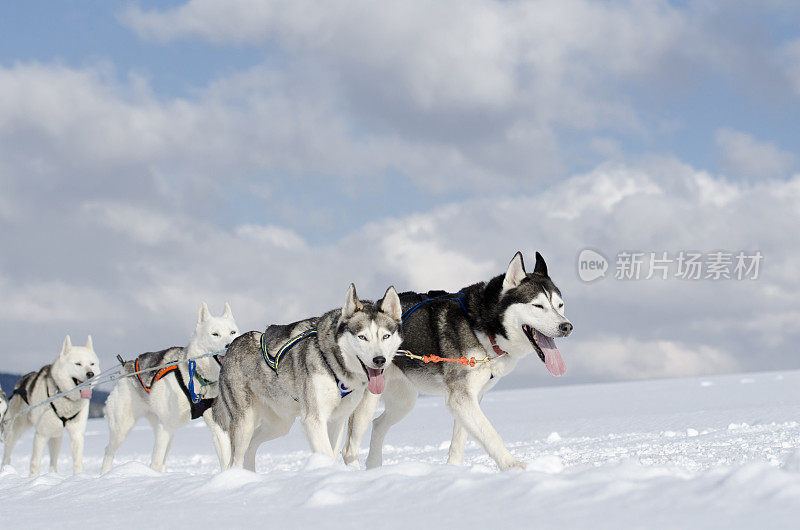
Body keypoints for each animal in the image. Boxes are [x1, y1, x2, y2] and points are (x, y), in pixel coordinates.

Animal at [0, 334, 100, 474]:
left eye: (92, 364)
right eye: (78, 363)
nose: (91, 374)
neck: (64, 395)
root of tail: (19, 385)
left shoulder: (77, 435)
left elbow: (77, 463)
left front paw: (78, 477)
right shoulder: (41, 435)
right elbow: (35, 463)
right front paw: (33, 478)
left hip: (56, 435)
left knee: (53, 460)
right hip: (15, 431)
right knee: (7, 453)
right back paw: (6, 469)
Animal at [101, 302, 238, 470]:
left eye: (232, 332)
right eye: (215, 334)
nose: (230, 344)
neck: (198, 378)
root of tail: (126, 367)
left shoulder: (216, 425)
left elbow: (225, 459)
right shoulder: (165, 425)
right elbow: (156, 460)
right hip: (123, 428)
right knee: (110, 451)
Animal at [211, 282, 404, 468]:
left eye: (386, 336)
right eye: (362, 337)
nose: (379, 360)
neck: (332, 363)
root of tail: (229, 348)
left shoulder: (337, 419)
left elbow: (332, 452)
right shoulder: (314, 420)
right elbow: (326, 453)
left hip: (279, 423)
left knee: (251, 446)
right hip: (244, 423)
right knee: (235, 460)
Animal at [340, 252, 572, 470]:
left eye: (560, 305)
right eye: (538, 306)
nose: (567, 326)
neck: (481, 327)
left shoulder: (471, 397)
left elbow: (459, 440)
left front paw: (453, 470)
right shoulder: (461, 397)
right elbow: (490, 433)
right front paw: (514, 467)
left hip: (403, 401)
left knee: (378, 424)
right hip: (368, 399)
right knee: (349, 448)